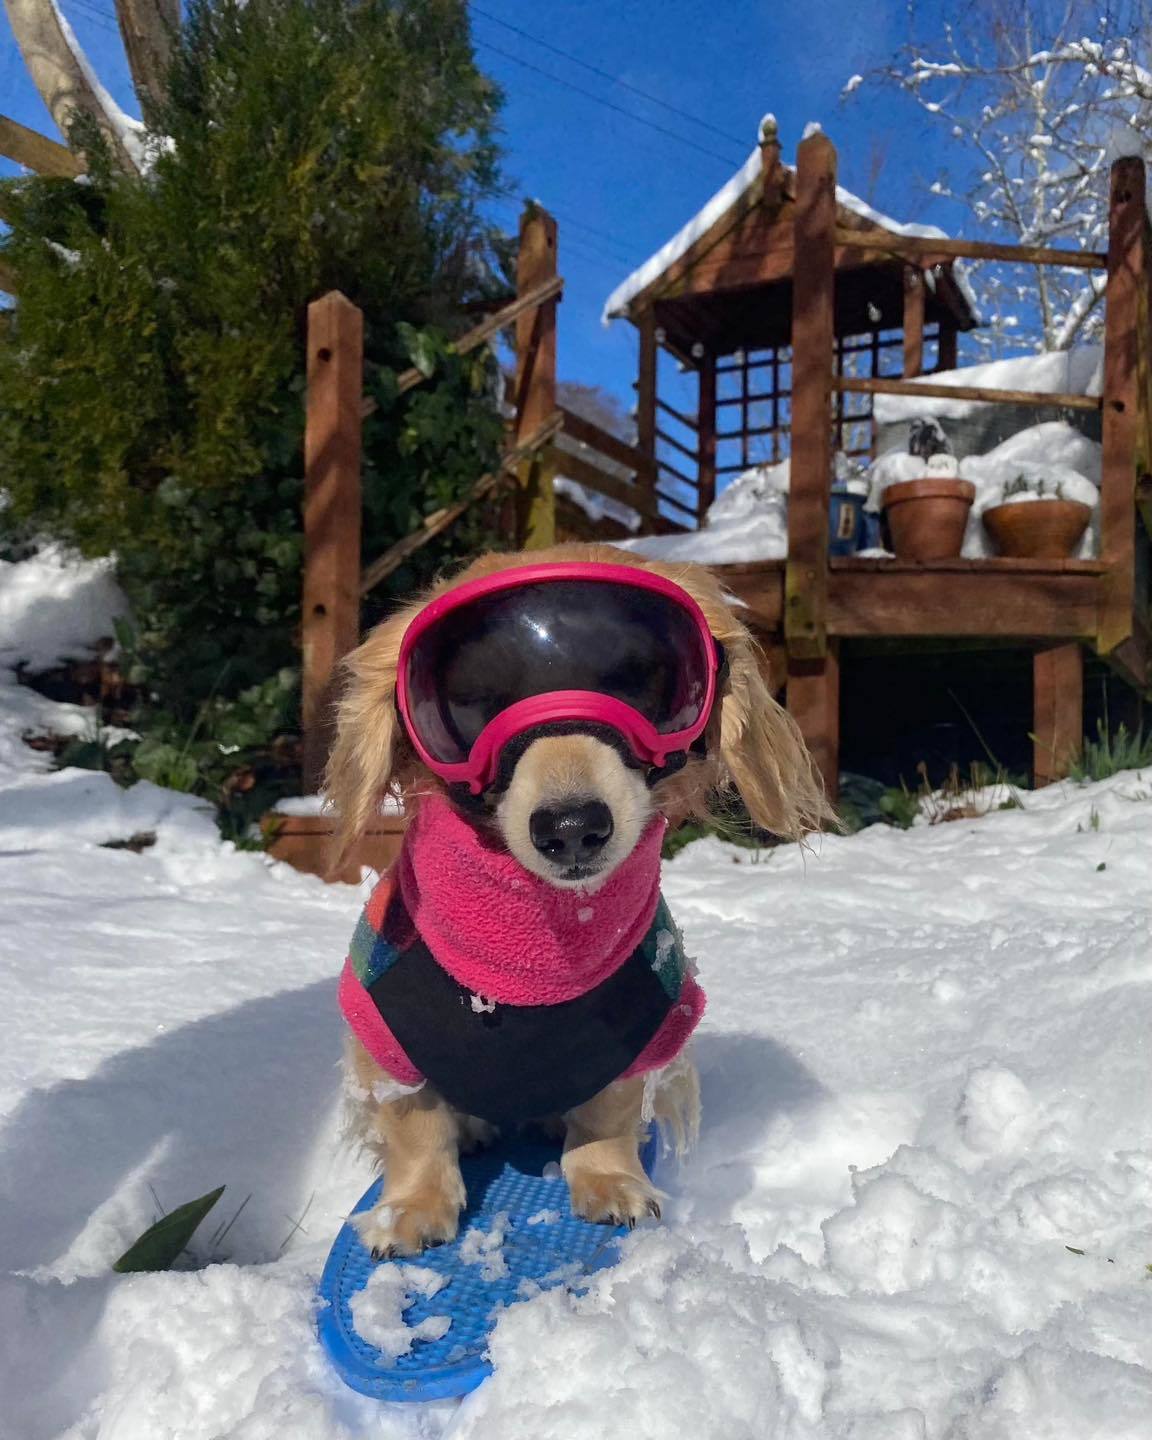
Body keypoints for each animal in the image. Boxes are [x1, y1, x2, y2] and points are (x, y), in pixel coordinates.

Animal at [324, 541, 829, 1249]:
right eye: (473, 700)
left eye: (636, 680)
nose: (571, 828)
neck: (526, 962)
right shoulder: (383, 1038)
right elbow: (415, 1129)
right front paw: (414, 1206)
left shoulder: (643, 1031)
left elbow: (606, 1117)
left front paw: (607, 1180)